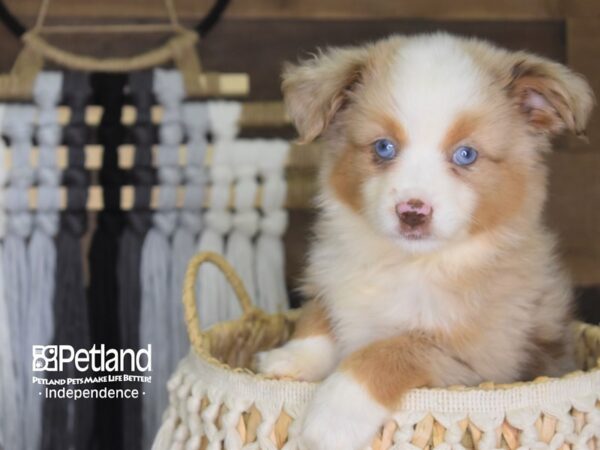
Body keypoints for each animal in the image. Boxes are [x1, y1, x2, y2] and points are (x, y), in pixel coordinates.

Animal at [255, 32, 592, 450]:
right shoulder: (332, 278)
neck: (407, 263)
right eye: (384, 147)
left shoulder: (482, 355)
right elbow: (319, 315)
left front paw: (333, 414)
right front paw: (292, 357)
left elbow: (394, 348)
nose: (412, 212)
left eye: (466, 154)